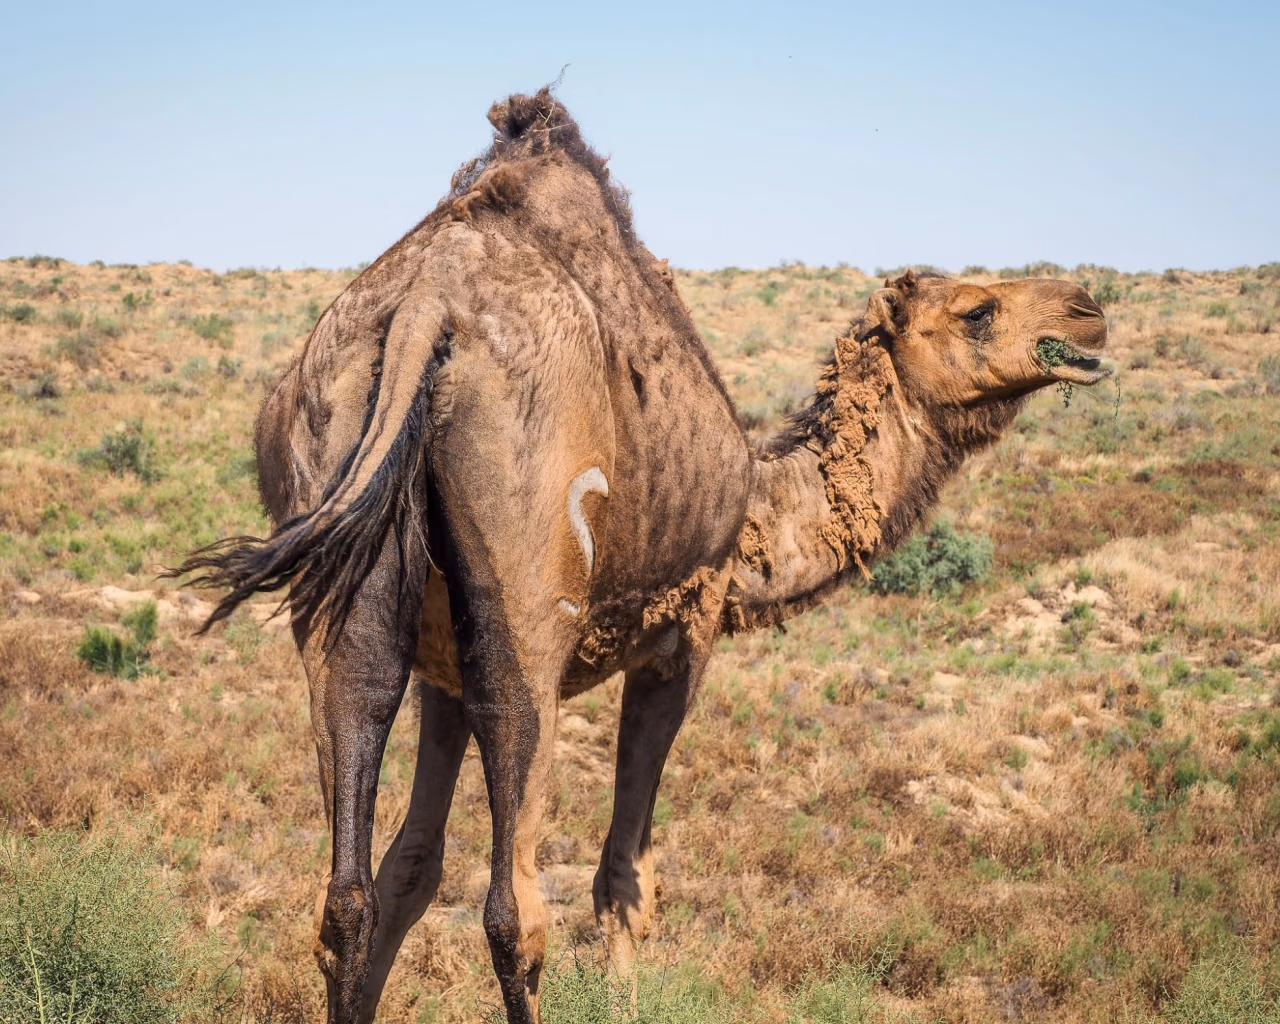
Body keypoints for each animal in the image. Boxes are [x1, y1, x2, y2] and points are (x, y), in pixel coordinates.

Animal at [172, 89, 1110, 1024]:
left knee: (347, 873)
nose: (1088, 306)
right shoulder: (683, 635)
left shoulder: (443, 671)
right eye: (976, 310)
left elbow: (410, 870)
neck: (761, 513)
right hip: (531, 592)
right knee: (515, 905)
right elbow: (625, 879)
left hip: (337, 530)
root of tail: (423, 310)